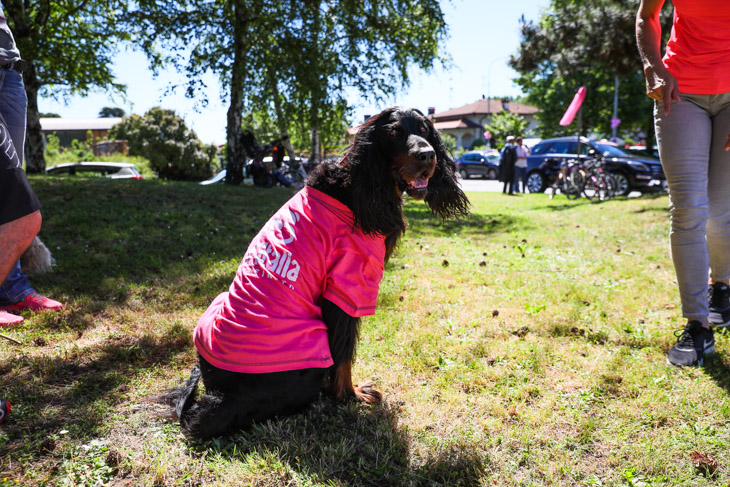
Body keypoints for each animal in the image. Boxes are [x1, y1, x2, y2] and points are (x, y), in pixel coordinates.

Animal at [172, 107, 466, 442]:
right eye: (393, 133)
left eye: (425, 129)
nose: (427, 155)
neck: (360, 186)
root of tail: (222, 393)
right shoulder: (347, 288)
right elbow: (344, 353)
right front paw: (350, 395)